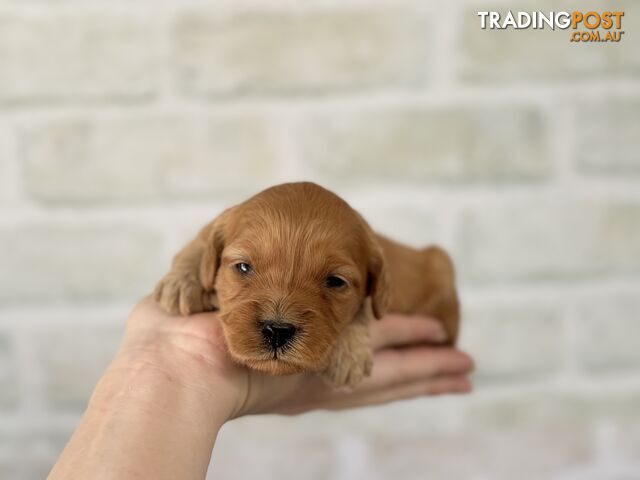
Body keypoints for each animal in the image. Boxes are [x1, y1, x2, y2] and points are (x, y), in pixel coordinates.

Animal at [152, 182, 458, 388]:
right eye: (243, 267)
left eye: (335, 282)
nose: (277, 331)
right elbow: (202, 238)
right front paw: (182, 281)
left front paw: (349, 355)